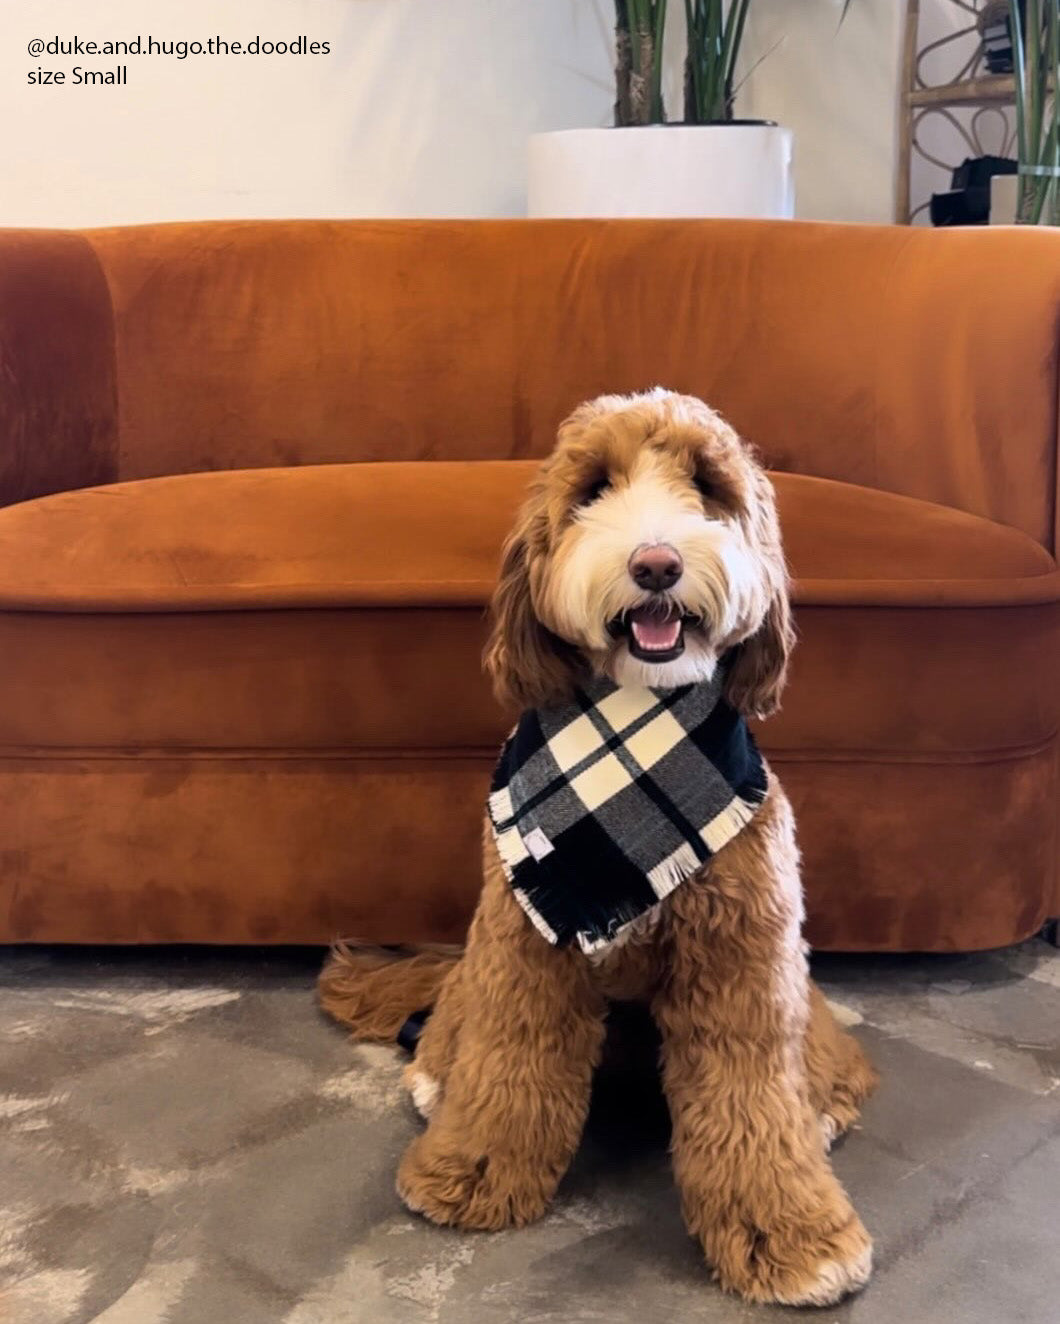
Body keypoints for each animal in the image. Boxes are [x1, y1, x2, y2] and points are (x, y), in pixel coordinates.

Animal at [320, 389, 878, 1302]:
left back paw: (827, 1094)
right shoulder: (524, 942)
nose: (655, 564)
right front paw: (471, 1172)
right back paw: (437, 1072)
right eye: (593, 491)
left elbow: (753, 1095)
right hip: (482, 955)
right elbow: (510, 1056)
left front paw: (791, 1234)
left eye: (708, 486)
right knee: (459, 1020)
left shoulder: (745, 957)